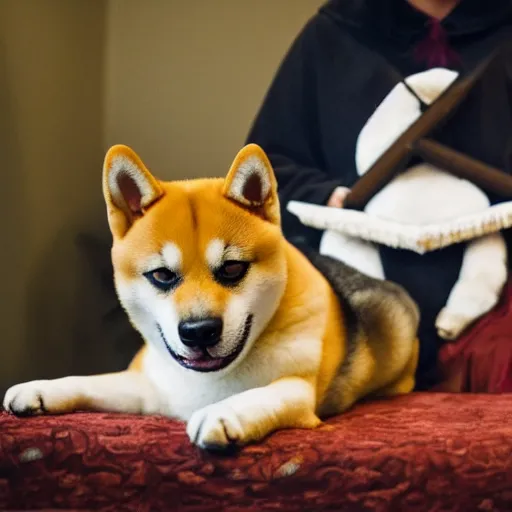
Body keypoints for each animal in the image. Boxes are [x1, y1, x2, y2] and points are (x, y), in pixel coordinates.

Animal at [4, 143, 420, 448]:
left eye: (232, 269)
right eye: (162, 275)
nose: (199, 332)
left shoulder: (298, 392)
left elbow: (263, 397)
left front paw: (226, 413)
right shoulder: (148, 389)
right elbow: (89, 381)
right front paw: (41, 389)